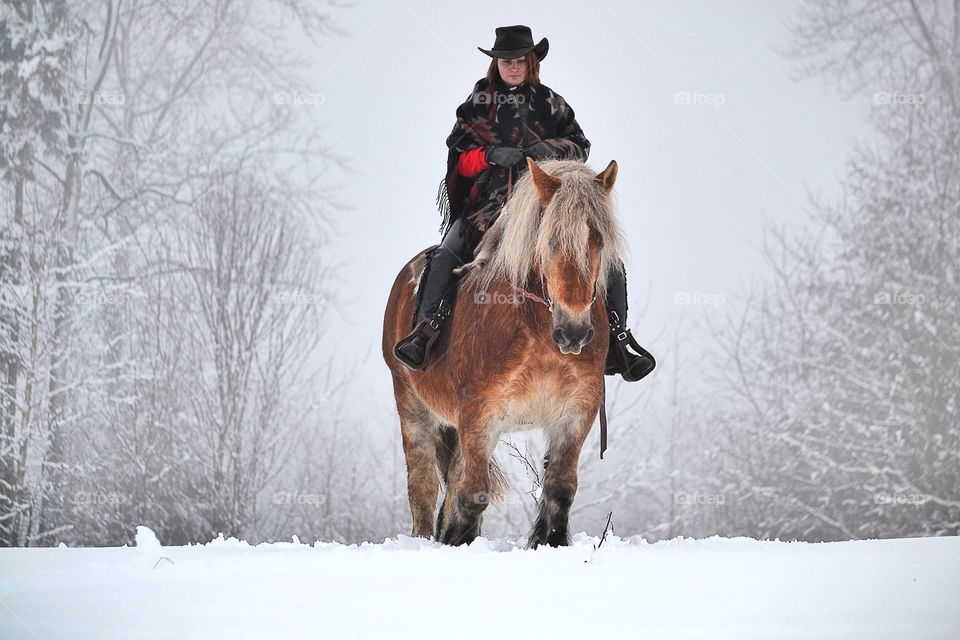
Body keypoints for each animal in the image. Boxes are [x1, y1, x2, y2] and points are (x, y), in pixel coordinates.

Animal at [380, 158, 624, 548]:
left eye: (598, 240)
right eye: (550, 240)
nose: (573, 332)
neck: (537, 329)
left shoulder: (576, 413)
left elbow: (560, 489)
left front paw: (550, 543)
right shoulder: (480, 413)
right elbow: (473, 494)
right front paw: (459, 541)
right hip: (412, 406)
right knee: (423, 487)